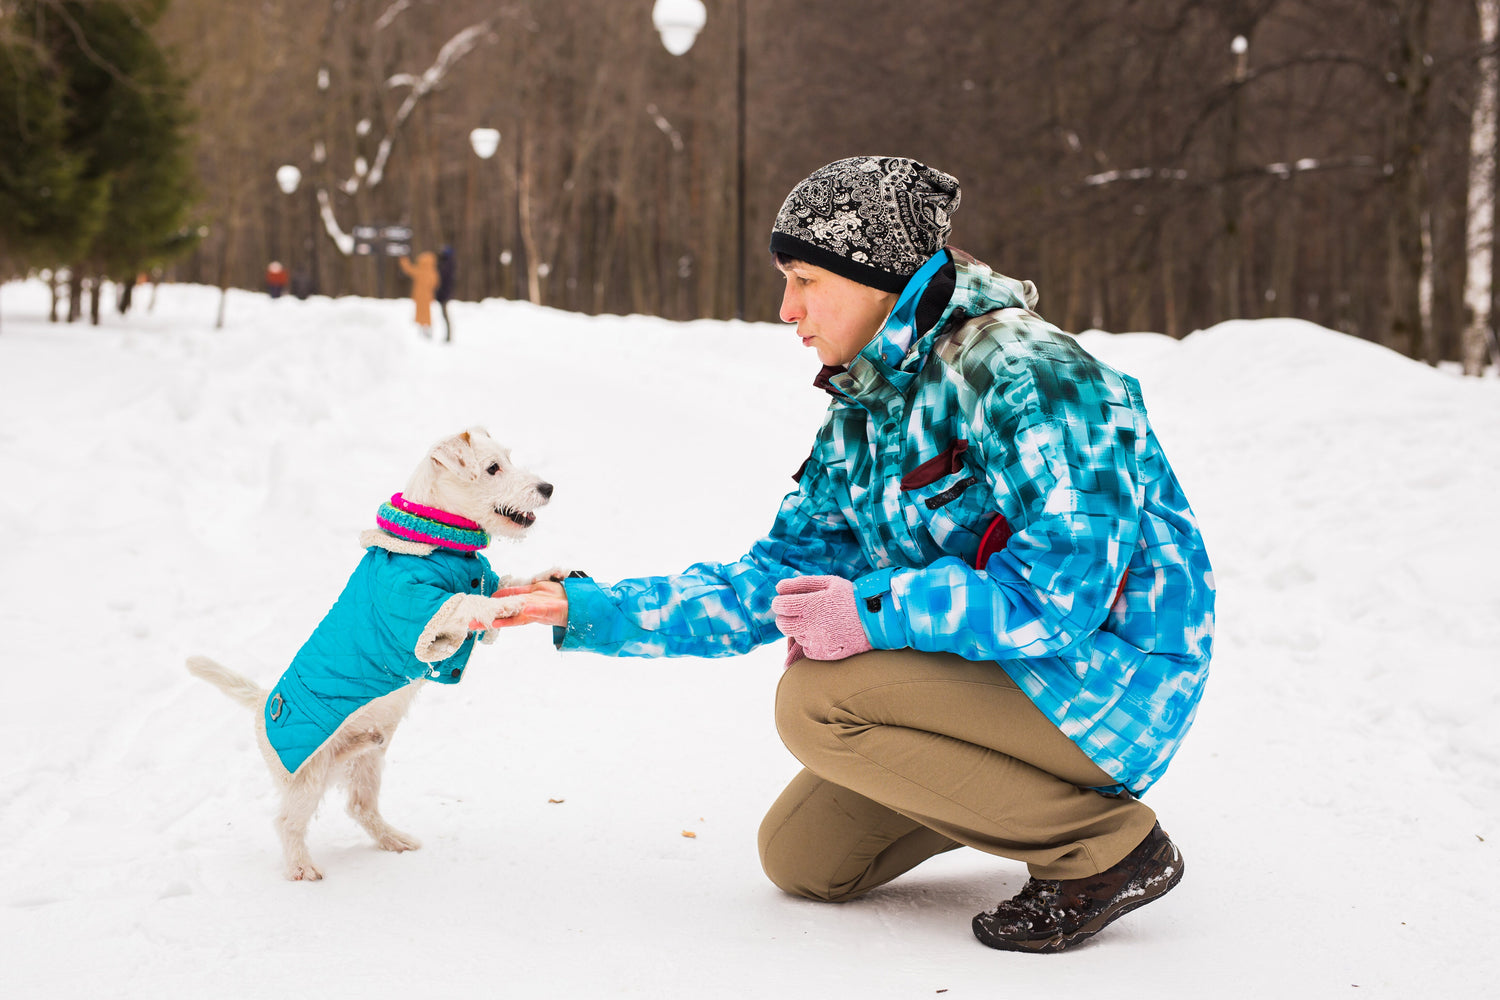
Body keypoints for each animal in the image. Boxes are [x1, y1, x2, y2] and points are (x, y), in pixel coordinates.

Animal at [187, 425, 552, 881]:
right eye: (492, 468)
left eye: (508, 458)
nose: (548, 488)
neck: (437, 538)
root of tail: (260, 706)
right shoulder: (421, 613)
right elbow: (469, 602)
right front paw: (510, 604)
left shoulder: (478, 582)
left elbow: (504, 582)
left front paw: (548, 577)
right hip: (307, 774)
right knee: (288, 821)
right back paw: (301, 868)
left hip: (368, 762)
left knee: (360, 806)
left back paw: (394, 839)